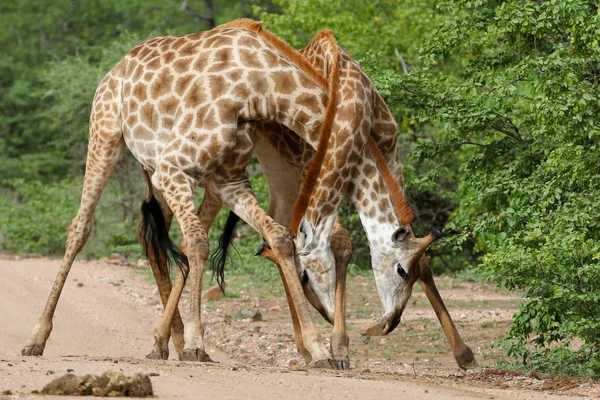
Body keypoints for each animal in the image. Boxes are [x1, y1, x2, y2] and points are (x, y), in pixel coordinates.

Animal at [21, 20, 352, 368]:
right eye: (307, 277)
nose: (330, 317)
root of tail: (116, 68)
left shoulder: (230, 179)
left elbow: (275, 238)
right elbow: (197, 241)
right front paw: (194, 342)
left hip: (156, 170)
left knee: (152, 236)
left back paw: (169, 341)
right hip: (106, 134)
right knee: (81, 227)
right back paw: (37, 338)